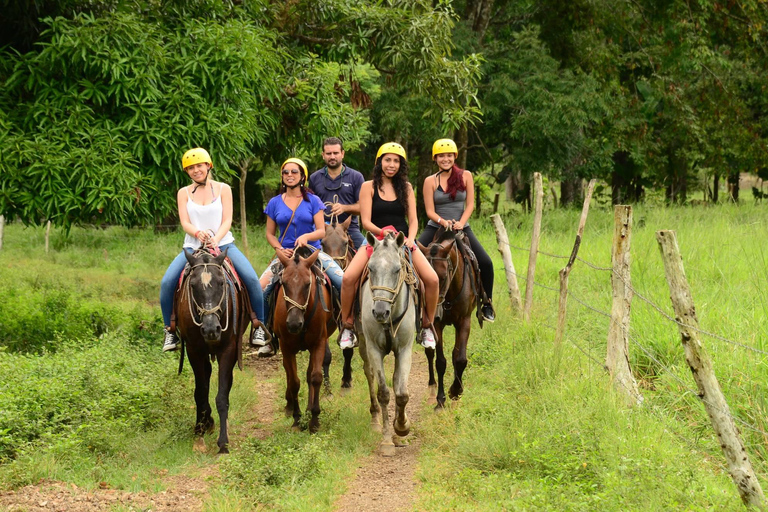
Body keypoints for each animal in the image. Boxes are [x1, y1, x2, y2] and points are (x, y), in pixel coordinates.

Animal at [174, 247, 249, 452]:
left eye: (221, 283)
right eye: (192, 285)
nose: (210, 329)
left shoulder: (229, 349)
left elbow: (222, 396)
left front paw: (223, 442)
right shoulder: (194, 350)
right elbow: (200, 392)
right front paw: (200, 433)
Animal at [276, 248, 336, 432]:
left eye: (307, 284)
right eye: (284, 283)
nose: (294, 323)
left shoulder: (318, 343)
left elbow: (315, 377)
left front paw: (314, 419)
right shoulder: (287, 347)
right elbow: (294, 382)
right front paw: (297, 418)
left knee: (310, 375)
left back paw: (309, 411)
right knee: (289, 374)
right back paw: (290, 406)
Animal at [356, 232, 416, 456]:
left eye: (397, 269)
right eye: (371, 268)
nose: (380, 312)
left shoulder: (405, 350)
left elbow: (402, 393)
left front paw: (402, 427)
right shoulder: (374, 349)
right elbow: (383, 393)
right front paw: (387, 440)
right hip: (363, 345)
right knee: (370, 374)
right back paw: (374, 420)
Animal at [416, 230, 476, 410]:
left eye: (442, 277)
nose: (434, 311)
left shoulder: (464, 321)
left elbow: (460, 358)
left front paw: (456, 392)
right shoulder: (437, 324)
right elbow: (440, 362)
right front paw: (440, 400)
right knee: (429, 353)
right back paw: (431, 388)